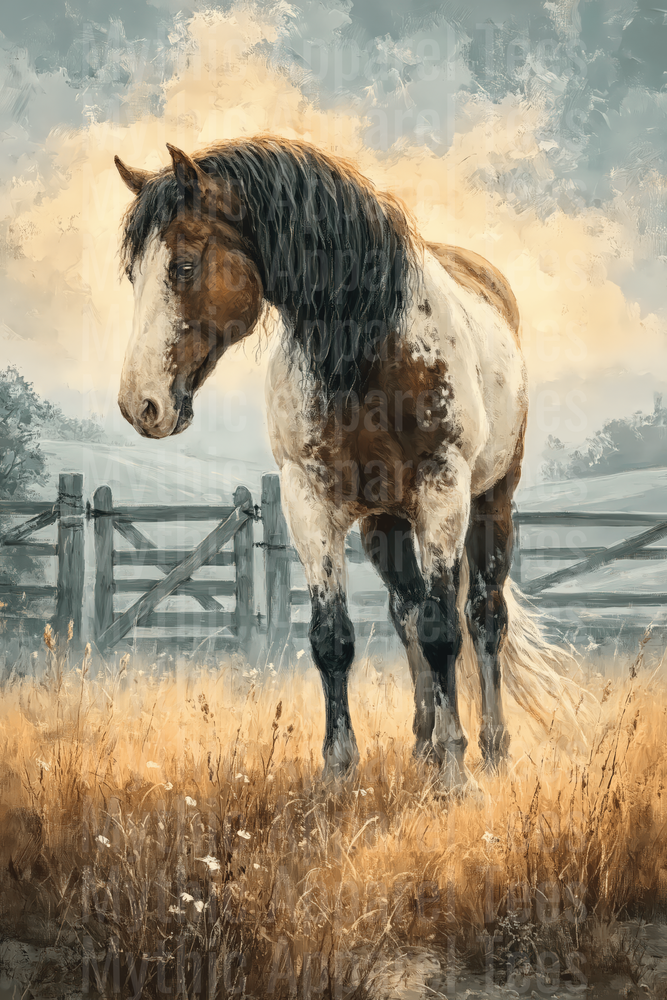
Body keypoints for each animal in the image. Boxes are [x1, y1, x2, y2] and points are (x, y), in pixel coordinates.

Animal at [113, 136, 547, 792]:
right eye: (133, 273)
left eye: (184, 265)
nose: (141, 405)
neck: (369, 347)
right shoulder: (308, 502)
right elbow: (333, 639)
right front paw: (339, 770)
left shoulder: (442, 491)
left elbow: (444, 631)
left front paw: (455, 768)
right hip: (383, 522)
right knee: (405, 611)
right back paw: (421, 744)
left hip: (491, 500)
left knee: (481, 616)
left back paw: (490, 748)